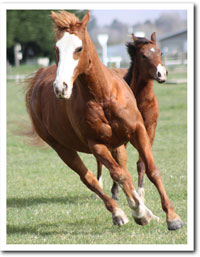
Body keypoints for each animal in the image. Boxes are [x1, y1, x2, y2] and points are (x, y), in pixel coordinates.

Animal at [97, 32, 167, 201]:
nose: (161, 74)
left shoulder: (148, 129)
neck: (140, 101)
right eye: (143, 55)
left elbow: (142, 162)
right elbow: (118, 160)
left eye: (160, 52)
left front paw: (140, 192)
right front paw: (116, 191)